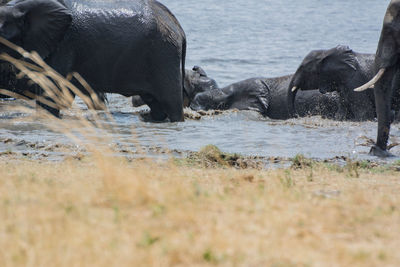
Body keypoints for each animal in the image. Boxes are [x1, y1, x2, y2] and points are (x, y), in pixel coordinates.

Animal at [0, 0, 187, 122]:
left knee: (171, 105)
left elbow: (53, 91)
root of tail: (178, 27)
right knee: (156, 105)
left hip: (164, 55)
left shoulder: (64, 45)